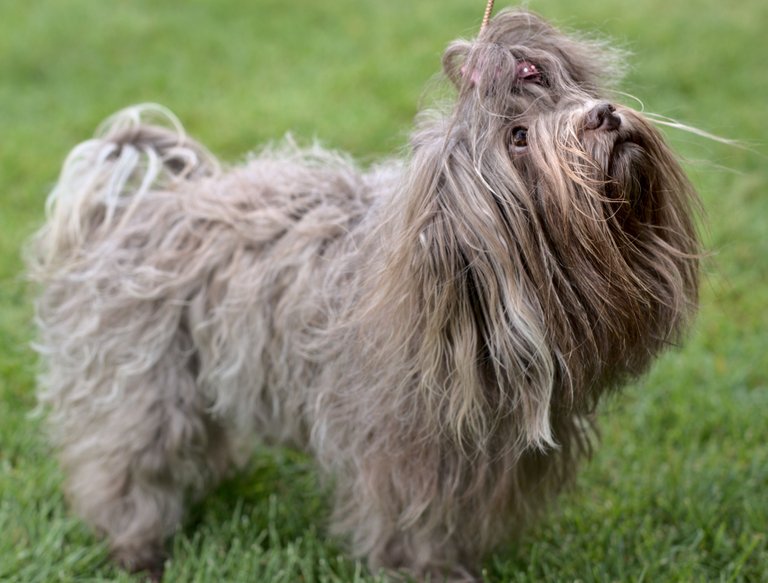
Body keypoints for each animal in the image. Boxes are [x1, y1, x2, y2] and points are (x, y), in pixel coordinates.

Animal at [27, 6, 704, 580]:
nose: (605, 114)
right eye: (517, 136)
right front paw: (427, 570)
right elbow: (412, 525)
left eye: (569, 93)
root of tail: (134, 209)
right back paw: (138, 547)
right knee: (122, 466)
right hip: (142, 381)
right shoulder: (406, 453)